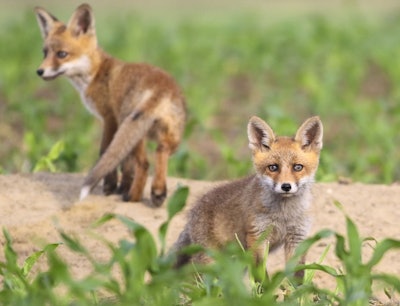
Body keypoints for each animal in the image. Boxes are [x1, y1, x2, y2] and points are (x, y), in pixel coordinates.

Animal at [34, 4, 186, 206]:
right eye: (45, 53)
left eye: (62, 54)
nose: (39, 71)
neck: (96, 73)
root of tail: (160, 87)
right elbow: (125, 164)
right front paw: (122, 186)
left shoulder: (109, 117)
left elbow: (105, 152)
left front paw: (110, 186)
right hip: (168, 135)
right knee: (161, 153)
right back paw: (157, 192)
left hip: (133, 127)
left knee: (144, 164)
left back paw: (133, 198)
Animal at [173, 116, 324, 278]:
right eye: (273, 167)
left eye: (298, 167)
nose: (286, 186)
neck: (284, 215)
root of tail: (194, 209)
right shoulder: (257, 236)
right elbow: (260, 276)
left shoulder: (297, 237)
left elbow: (297, 276)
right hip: (211, 260)